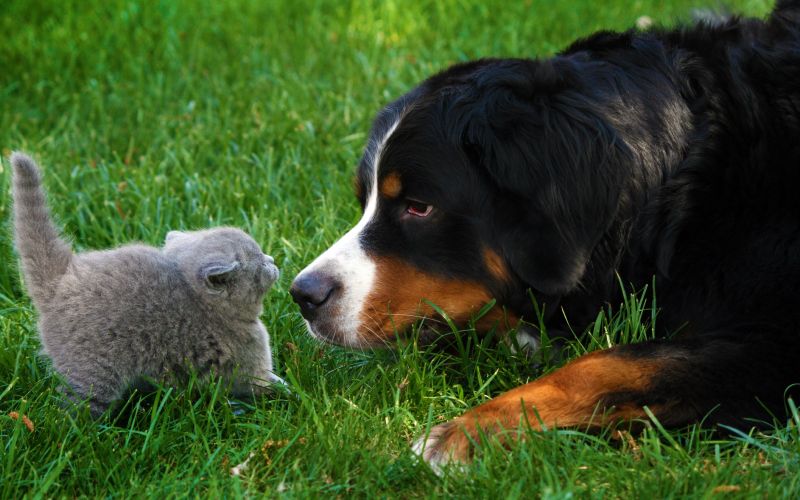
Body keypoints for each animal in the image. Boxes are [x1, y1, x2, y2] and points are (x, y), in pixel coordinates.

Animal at [10, 152, 282, 418]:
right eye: (260, 262)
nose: (272, 260)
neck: (208, 308)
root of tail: (62, 279)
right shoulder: (248, 362)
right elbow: (262, 385)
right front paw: (283, 392)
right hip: (92, 369)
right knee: (77, 408)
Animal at [290, 0, 800, 468]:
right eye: (365, 200)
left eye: (419, 207)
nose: (304, 295)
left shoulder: (776, 342)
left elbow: (607, 364)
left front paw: (466, 432)